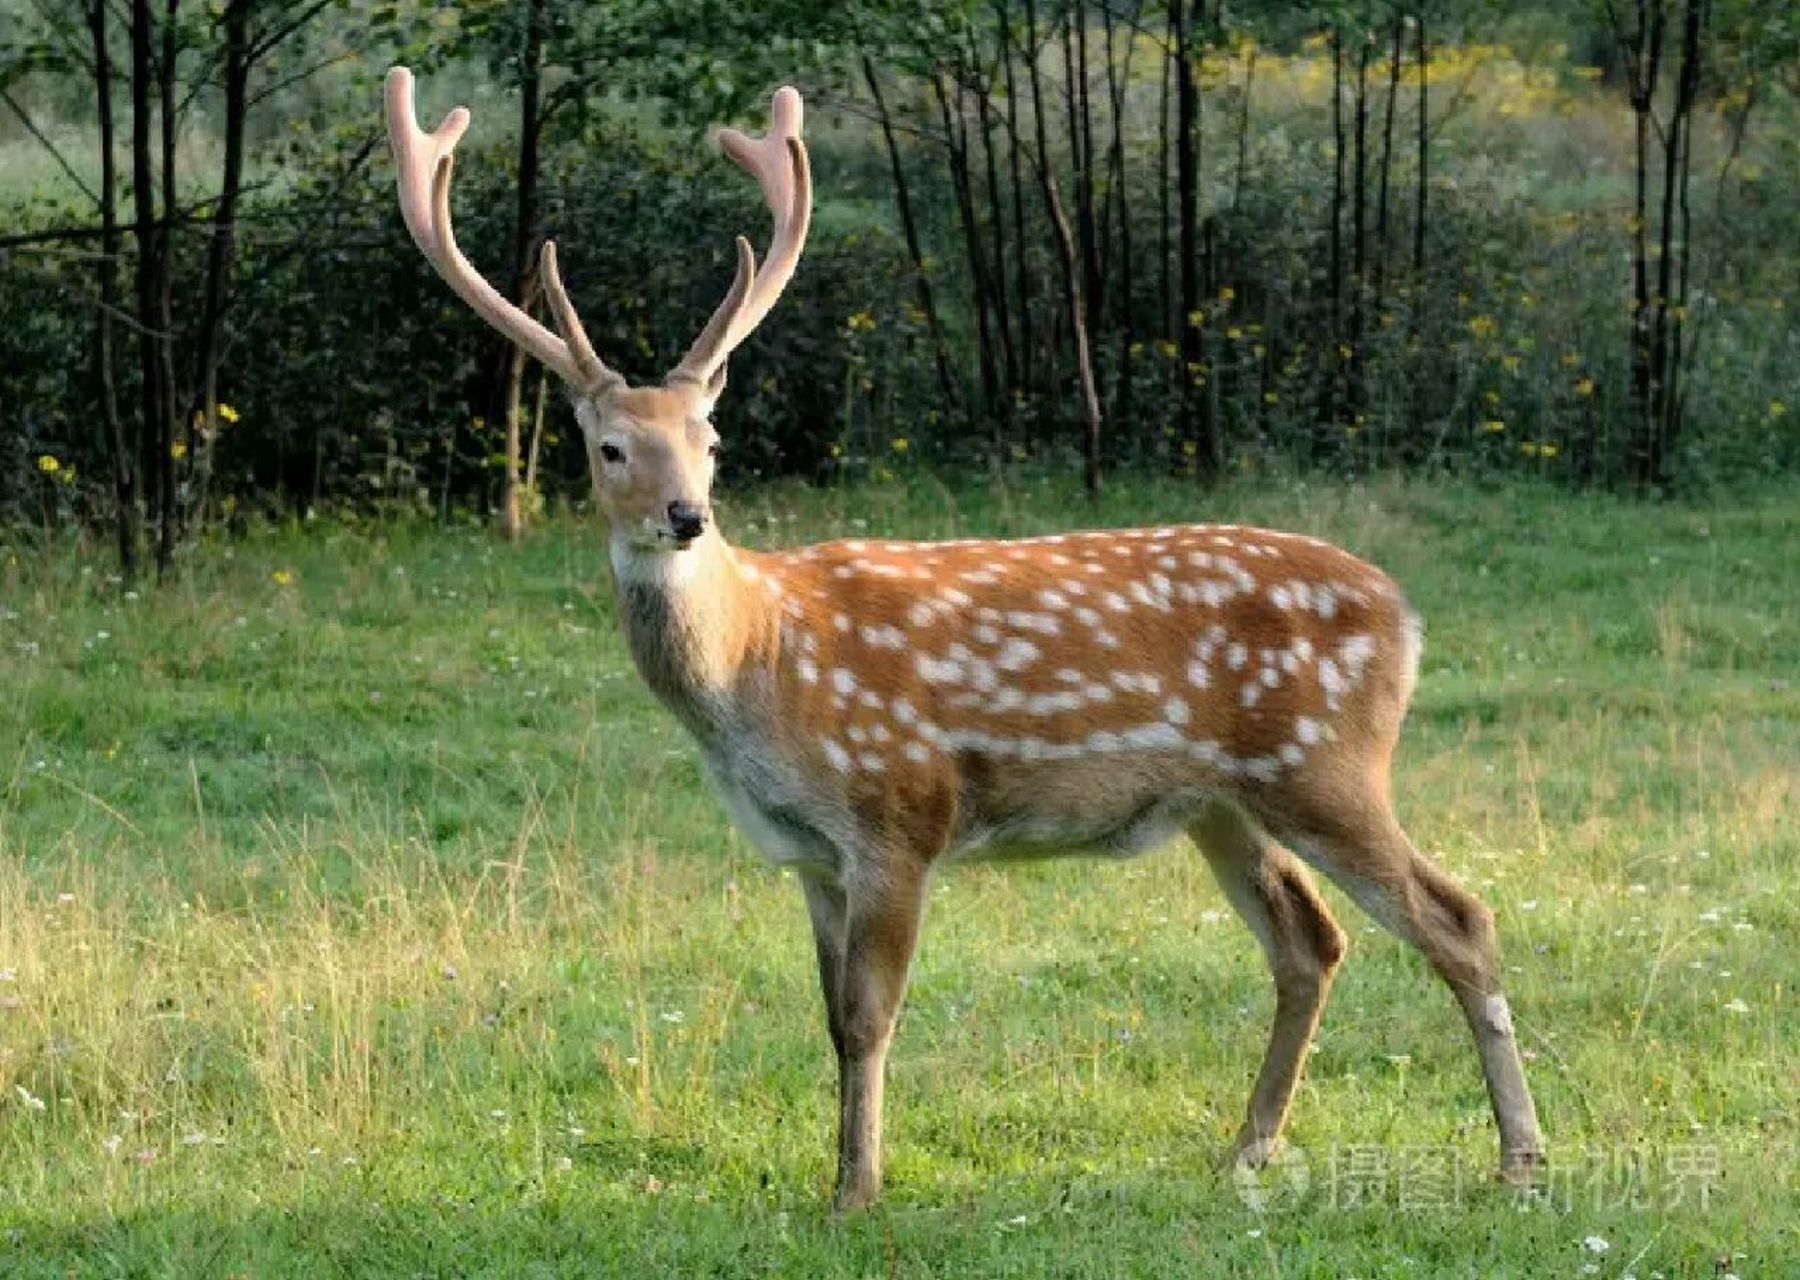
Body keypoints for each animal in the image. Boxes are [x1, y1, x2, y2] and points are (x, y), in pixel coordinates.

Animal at [384, 66, 1544, 1211]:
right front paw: (842, 1176)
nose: (686, 516)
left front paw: (858, 1193)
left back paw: (1520, 1158)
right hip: (1223, 801)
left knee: (1459, 916)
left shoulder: (900, 812)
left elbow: (868, 1017)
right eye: (612, 447)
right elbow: (829, 1017)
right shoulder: (808, 854)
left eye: (710, 438)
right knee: (1310, 942)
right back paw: (1248, 1150)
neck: (758, 665)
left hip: (1323, 762)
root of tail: (1405, 615)